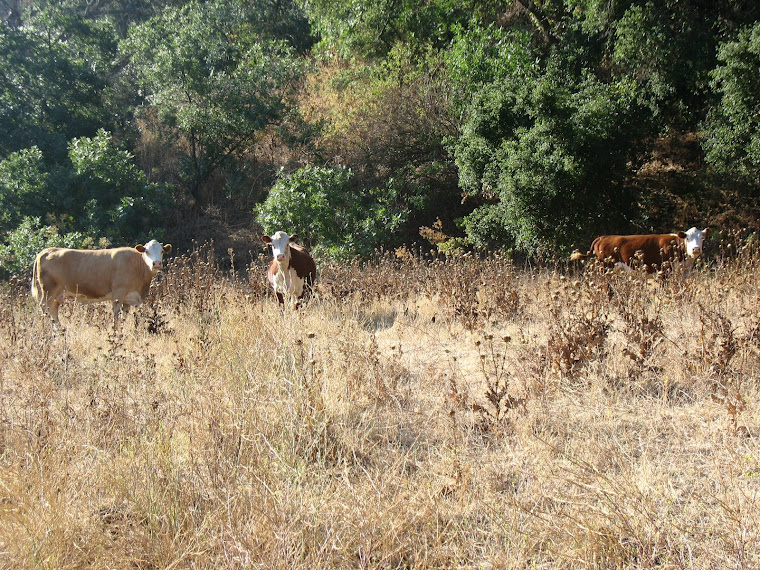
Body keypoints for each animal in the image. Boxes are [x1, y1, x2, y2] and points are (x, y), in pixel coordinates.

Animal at [31, 239, 172, 326]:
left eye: (162, 251)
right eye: (147, 251)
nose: (156, 263)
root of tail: (47, 251)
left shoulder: (128, 298)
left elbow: (124, 317)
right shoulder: (118, 294)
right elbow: (116, 317)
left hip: (57, 294)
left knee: (53, 310)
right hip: (48, 291)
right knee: (45, 308)